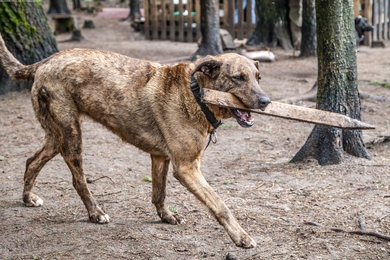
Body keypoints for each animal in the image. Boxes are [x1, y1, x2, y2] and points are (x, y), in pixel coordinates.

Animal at [0, 34, 270, 248]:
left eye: (258, 77)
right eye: (238, 78)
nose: (266, 101)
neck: (195, 94)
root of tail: (45, 62)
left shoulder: (160, 157)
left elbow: (159, 193)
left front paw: (166, 217)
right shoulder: (187, 168)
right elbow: (220, 205)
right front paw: (241, 237)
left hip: (57, 135)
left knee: (32, 160)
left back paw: (28, 198)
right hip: (70, 135)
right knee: (78, 180)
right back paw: (96, 213)